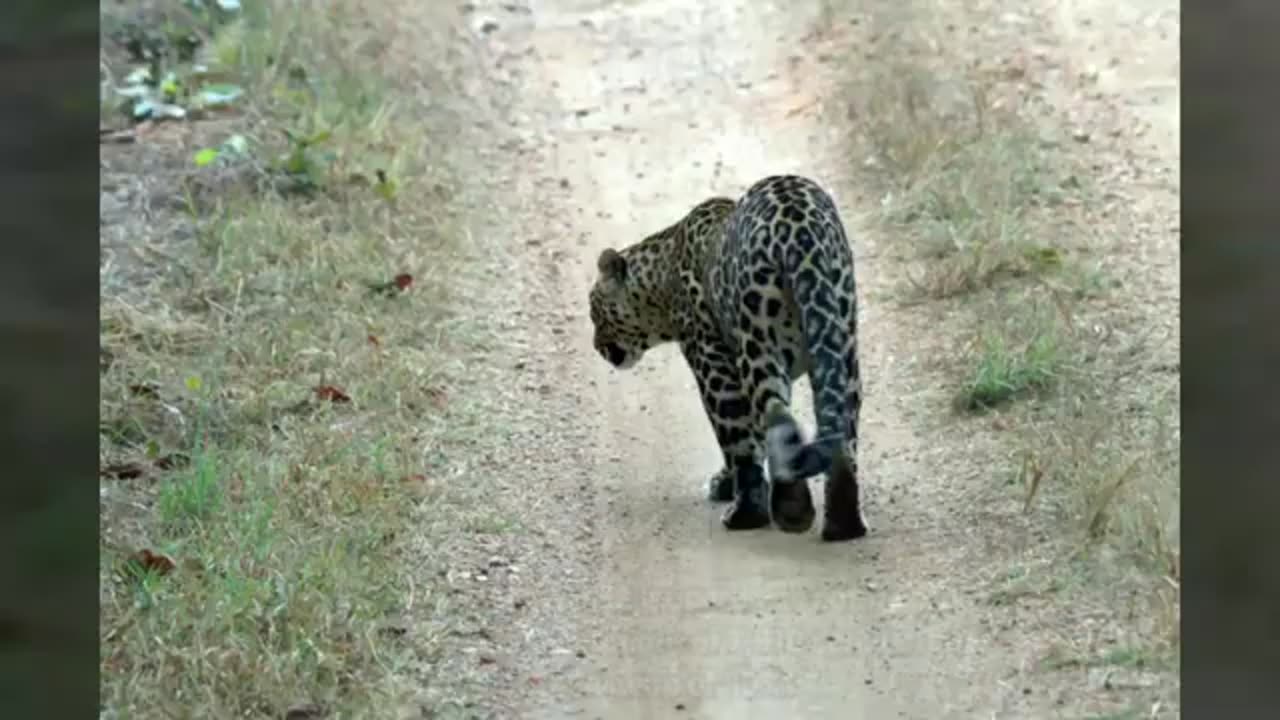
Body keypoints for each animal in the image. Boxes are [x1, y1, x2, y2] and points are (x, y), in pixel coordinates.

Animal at [588, 170, 870, 535]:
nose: (595, 345)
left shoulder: (710, 360)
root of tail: (799, 229)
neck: (662, 278)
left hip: (757, 343)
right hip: (841, 340)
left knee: (775, 416)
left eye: (593, 311)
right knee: (841, 427)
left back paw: (772, 512)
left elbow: (736, 437)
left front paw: (730, 489)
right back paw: (843, 524)